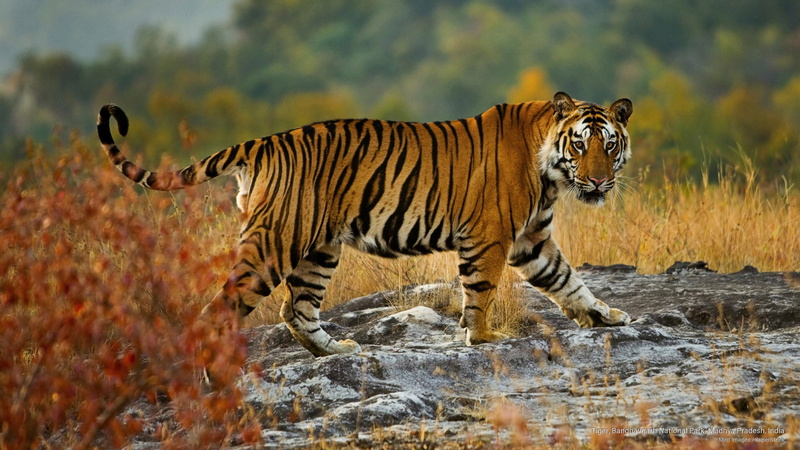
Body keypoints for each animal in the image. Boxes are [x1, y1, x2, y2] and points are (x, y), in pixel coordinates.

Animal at [97, 91, 633, 357]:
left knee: (297, 309)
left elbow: (568, 280)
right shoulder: (490, 237)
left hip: (318, 249)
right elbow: (480, 292)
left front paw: (604, 316)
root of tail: (263, 142)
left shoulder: (531, 240)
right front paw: (482, 339)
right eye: (580, 144)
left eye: (610, 146)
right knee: (221, 310)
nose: (598, 182)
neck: (551, 172)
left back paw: (336, 351)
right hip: (275, 243)